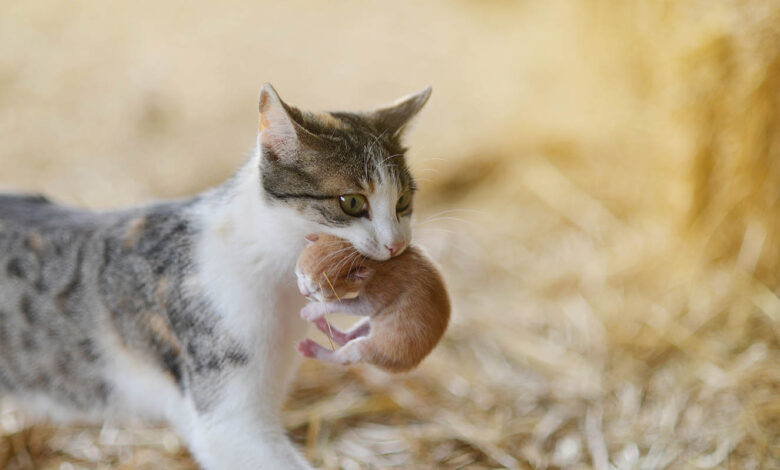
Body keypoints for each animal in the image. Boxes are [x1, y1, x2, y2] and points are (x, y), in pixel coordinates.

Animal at [294, 233, 450, 372]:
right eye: (302, 274)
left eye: (317, 290)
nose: (303, 292)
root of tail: (408, 366)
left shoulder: (385, 285)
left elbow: (355, 306)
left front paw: (311, 311)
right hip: (373, 324)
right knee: (349, 337)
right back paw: (325, 326)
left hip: (376, 349)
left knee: (344, 356)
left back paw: (313, 349)